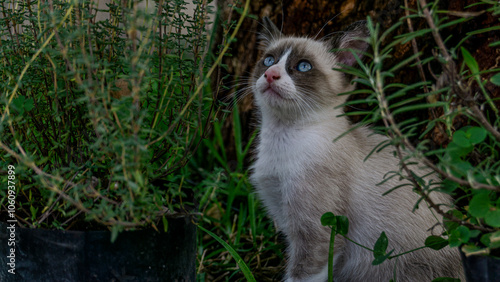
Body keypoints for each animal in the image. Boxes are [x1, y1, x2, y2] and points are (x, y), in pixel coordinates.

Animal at [250, 17, 464, 282]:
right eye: (268, 60)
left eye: (303, 66)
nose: (270, 74)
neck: (282, 138)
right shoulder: (283, 213)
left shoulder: (315, 233)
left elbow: (300, 275)